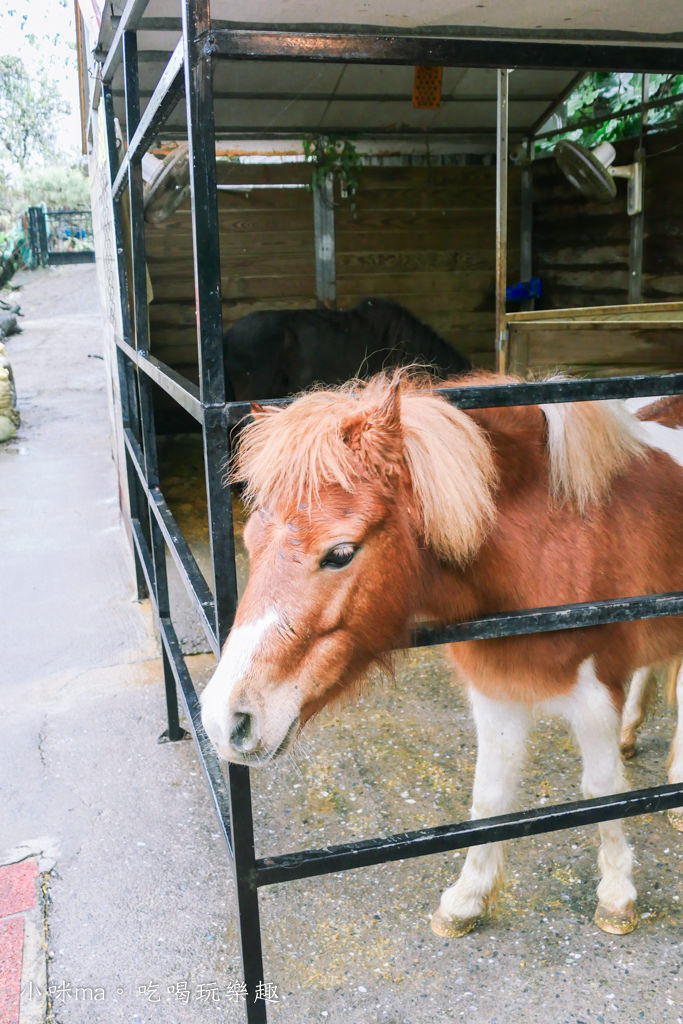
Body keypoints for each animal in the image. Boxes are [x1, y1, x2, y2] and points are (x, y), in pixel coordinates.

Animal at [200, 374, 679, 937]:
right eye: (250, 539)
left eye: (340, 553)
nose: (224, 720)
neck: (557, 543)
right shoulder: (498, 696)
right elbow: (489, 798)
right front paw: (466, 899)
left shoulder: (596, 696)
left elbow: (603, 791)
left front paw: (617, 895)